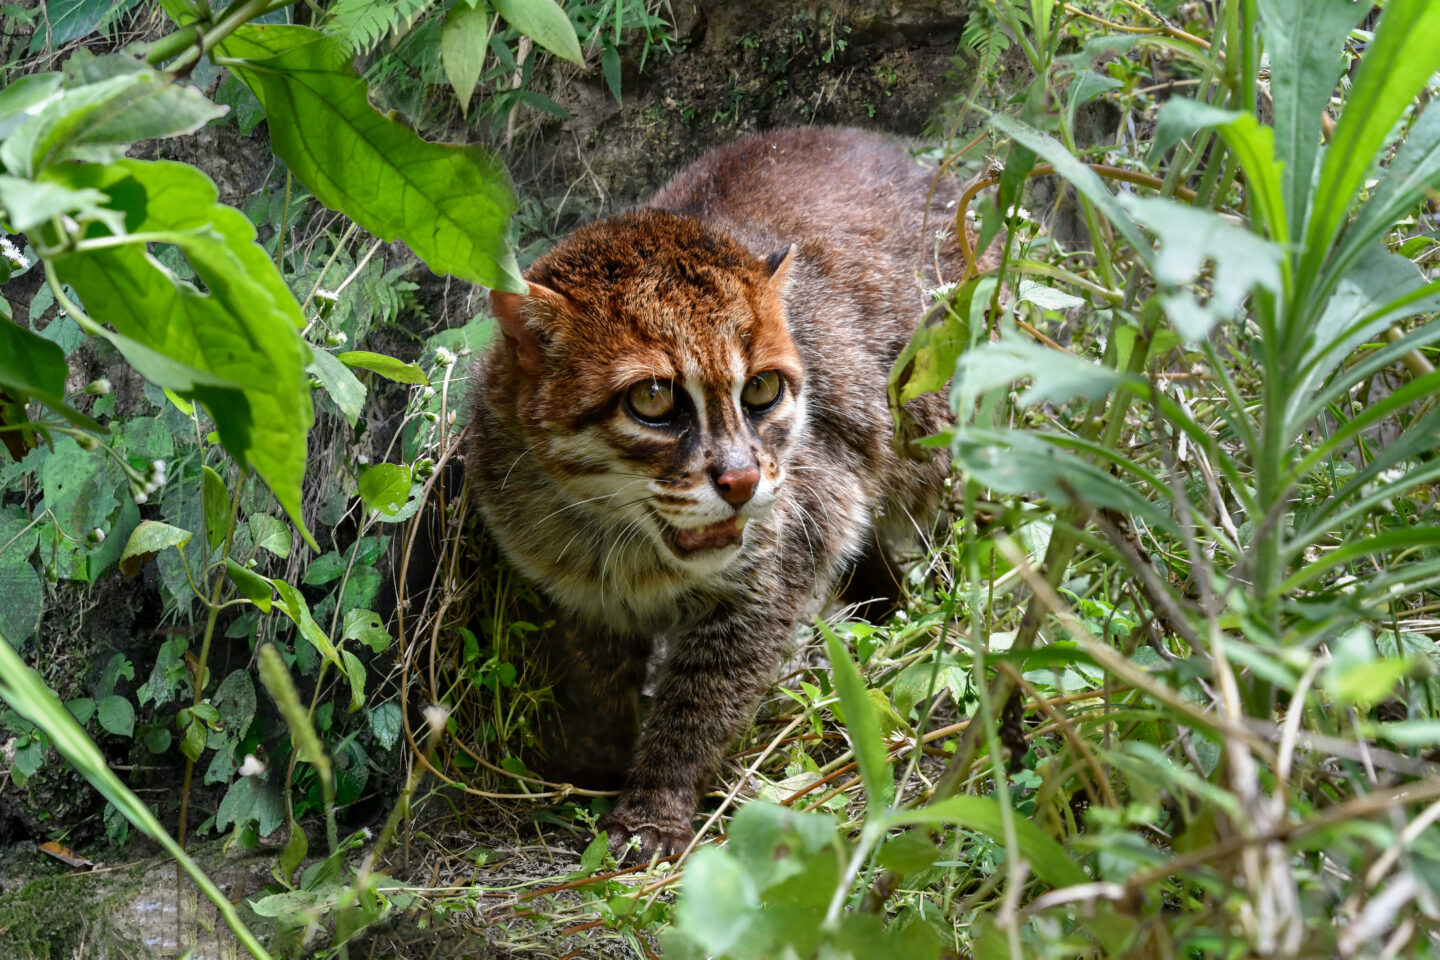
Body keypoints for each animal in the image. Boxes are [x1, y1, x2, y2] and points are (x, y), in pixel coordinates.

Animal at [466, 123, 996, 857]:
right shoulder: (581, 601)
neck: (621, 546)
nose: (744, 481)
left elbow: (700, 702)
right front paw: (598, 766)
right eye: (653, 400)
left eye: (763, 389)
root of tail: (922, 164)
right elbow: (598, 682)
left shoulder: (776, 568)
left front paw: (654, 807)